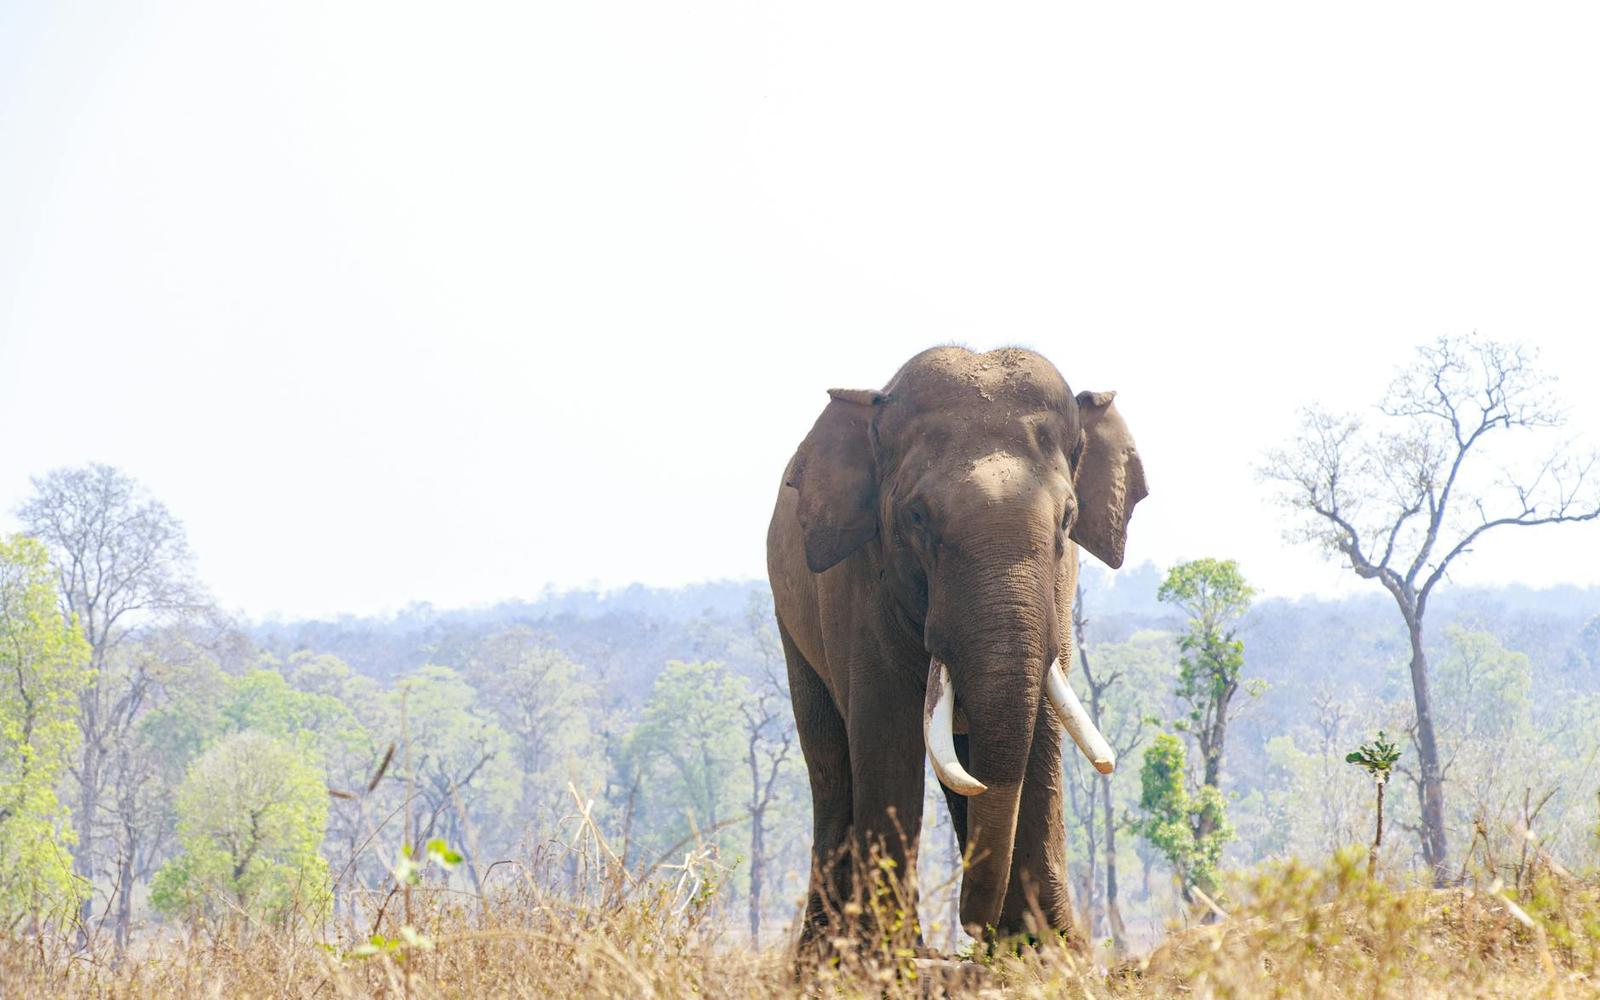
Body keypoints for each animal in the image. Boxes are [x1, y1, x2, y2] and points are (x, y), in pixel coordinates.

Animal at [765, 346, 1147, 952]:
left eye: (1067, 518)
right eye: (918, 517)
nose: (973, 926)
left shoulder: (1060, 589)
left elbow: (1041, 733)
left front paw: (1050, 952)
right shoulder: (856, 583)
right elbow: (884, 735)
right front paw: (887, 957)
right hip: (791, 622)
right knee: (829, 763)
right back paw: (821, 955)